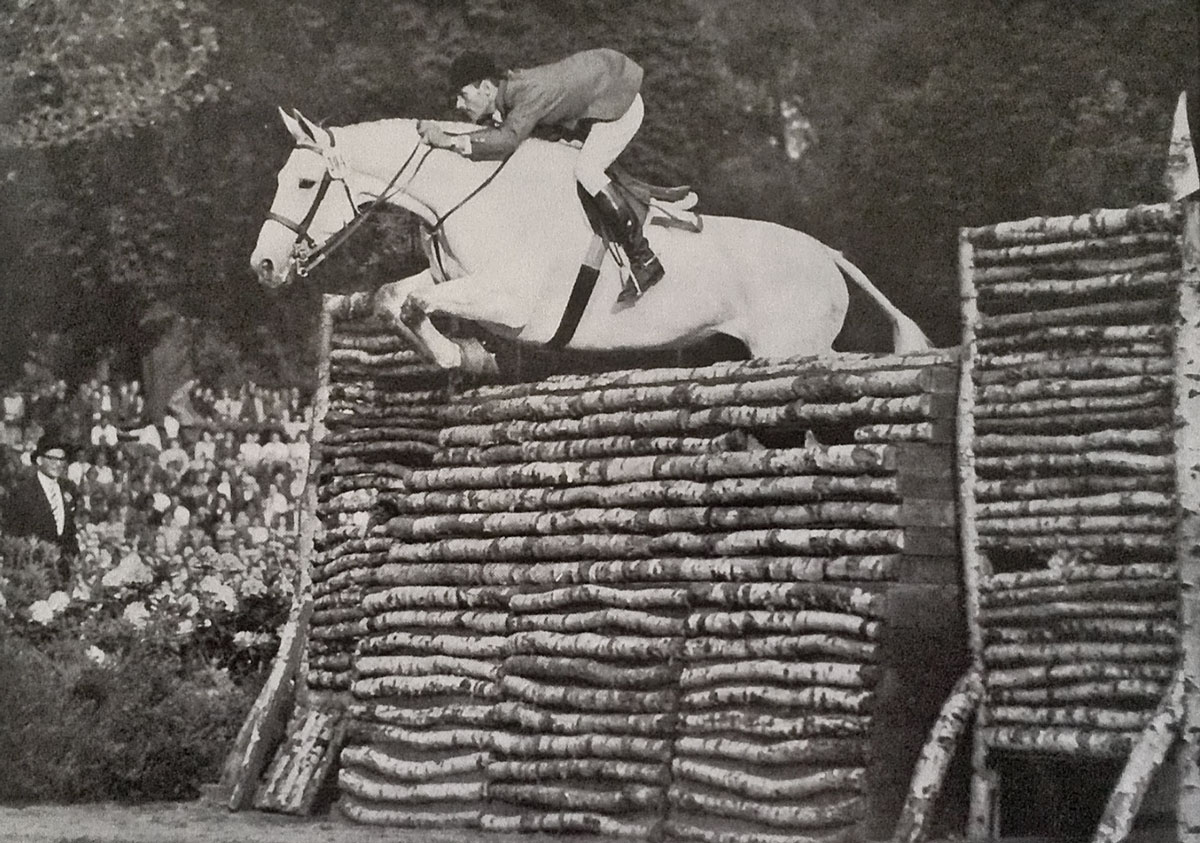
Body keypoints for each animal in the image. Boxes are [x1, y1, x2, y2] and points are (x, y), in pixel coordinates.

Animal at [250, 108, 926, 369]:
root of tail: (827, 254)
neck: (472, 195)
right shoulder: (459, 279)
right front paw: (459, 356)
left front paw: (456, 354)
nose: (263, 266)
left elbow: (414, 301)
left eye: (305, 181)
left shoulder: (513, 302)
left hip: (788, 347)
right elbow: (393, 297)